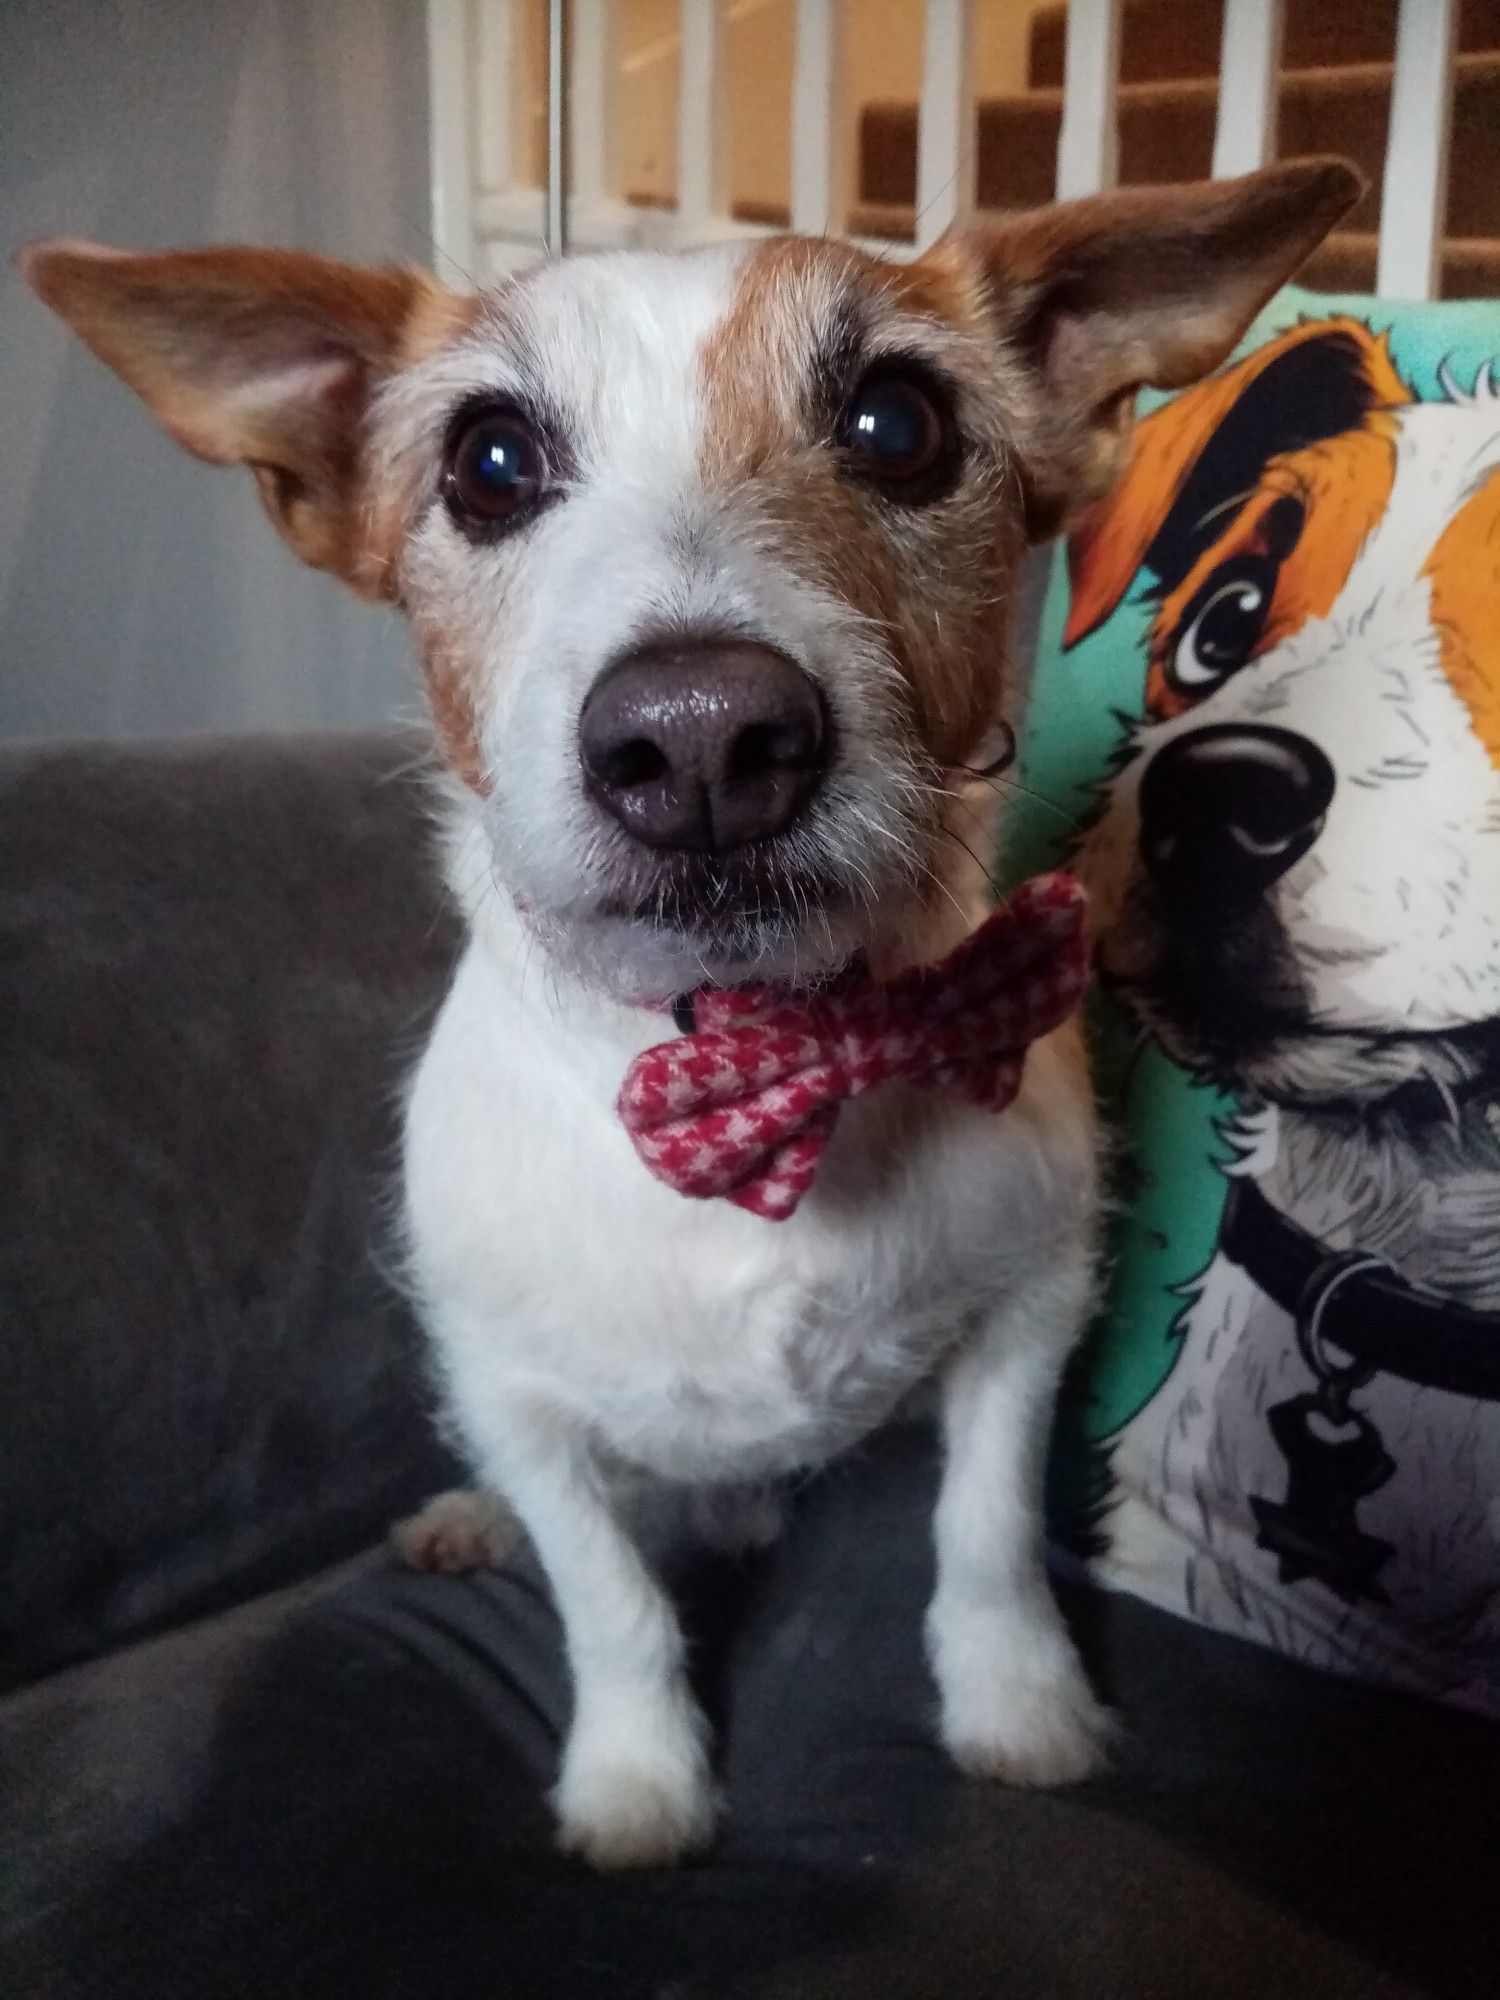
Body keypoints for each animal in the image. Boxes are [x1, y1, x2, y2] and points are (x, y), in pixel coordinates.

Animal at [23, 164, 1360, 1864]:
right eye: (490, 461)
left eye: (899, 423)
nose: (706, 737)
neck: (762, 1045)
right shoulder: (519, 1398)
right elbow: (608, 1600)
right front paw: (638, 1781)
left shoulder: (1028, 1314)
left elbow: (985, 1533)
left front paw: (1021, 1706)